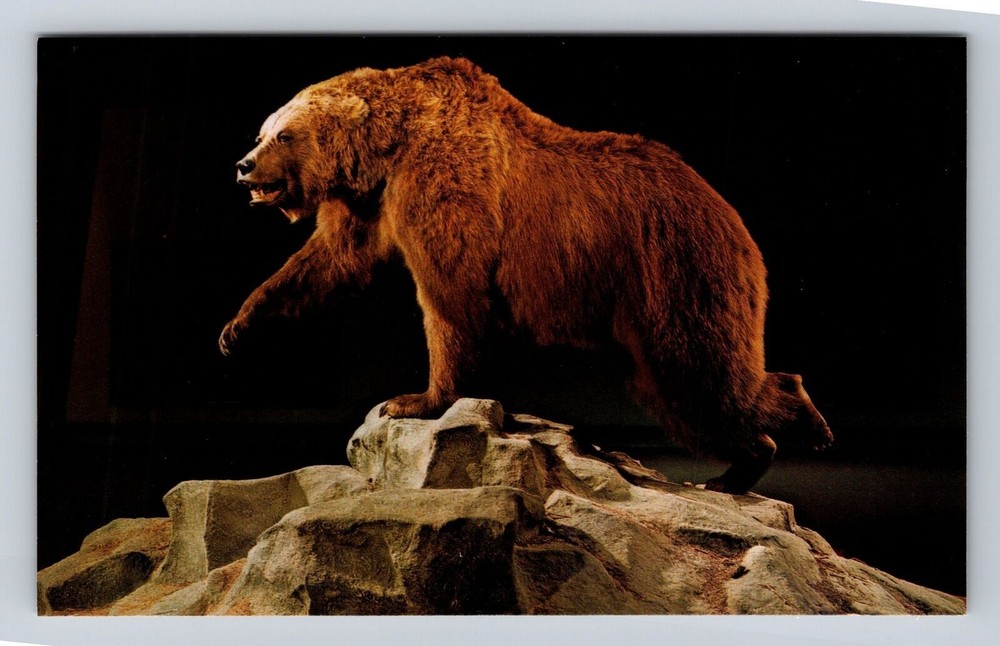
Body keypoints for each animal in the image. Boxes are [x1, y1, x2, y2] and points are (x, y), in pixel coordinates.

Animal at [220, 56, 833, 494]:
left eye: (283, 134)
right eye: (261, 130)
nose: (243, 166)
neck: (385, 149)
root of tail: (735, 222)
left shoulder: (444, 184)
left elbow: (449, 296)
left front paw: (415, 398)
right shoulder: (367, 202)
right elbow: (330, 261)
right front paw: (238, 326)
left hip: (677, 271)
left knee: (695, 372)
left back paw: (788, 434)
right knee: (676, 387)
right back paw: (741, 465)